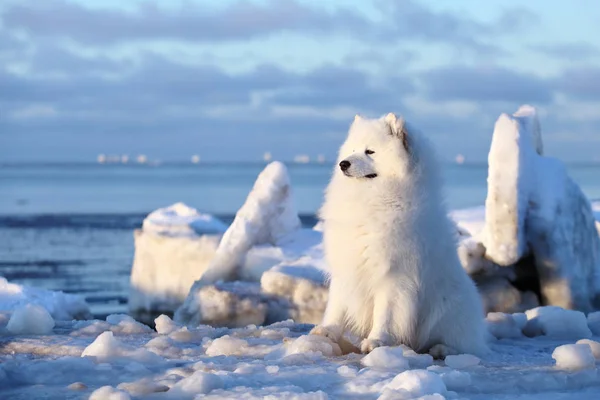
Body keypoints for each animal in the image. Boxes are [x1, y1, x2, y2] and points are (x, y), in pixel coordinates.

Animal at [312, 113, 490, 360]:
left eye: (370, 151)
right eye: (353, 150)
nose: (343, 164)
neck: (371, 200)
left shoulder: (393, 275)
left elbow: (385, 313)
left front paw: (376, 341)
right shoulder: (347, 267)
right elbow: (336, 306)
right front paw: (327, 331)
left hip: (448, 309)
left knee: (465, 346)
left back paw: (442, 349)